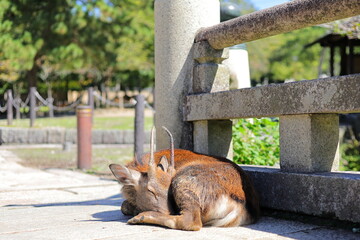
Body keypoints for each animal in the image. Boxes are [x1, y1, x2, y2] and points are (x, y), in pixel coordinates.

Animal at [109, 126, 258, 230]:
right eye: (150, 190)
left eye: (169, 191)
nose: (170, 211)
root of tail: (241, 209)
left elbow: (123, 206)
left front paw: (135, 210)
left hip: (183, 181)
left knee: (191, 222)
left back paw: (140, 217)